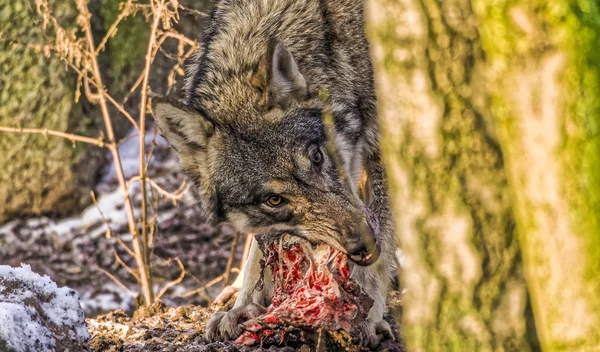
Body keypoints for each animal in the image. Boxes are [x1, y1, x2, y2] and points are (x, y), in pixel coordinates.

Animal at [151, 0, 394, 346]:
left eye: (317, 158)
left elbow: (384, 232)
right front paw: (243, 306)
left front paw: (370, 314)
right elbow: (258, 247)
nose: (363, 245)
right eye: (274, 200)